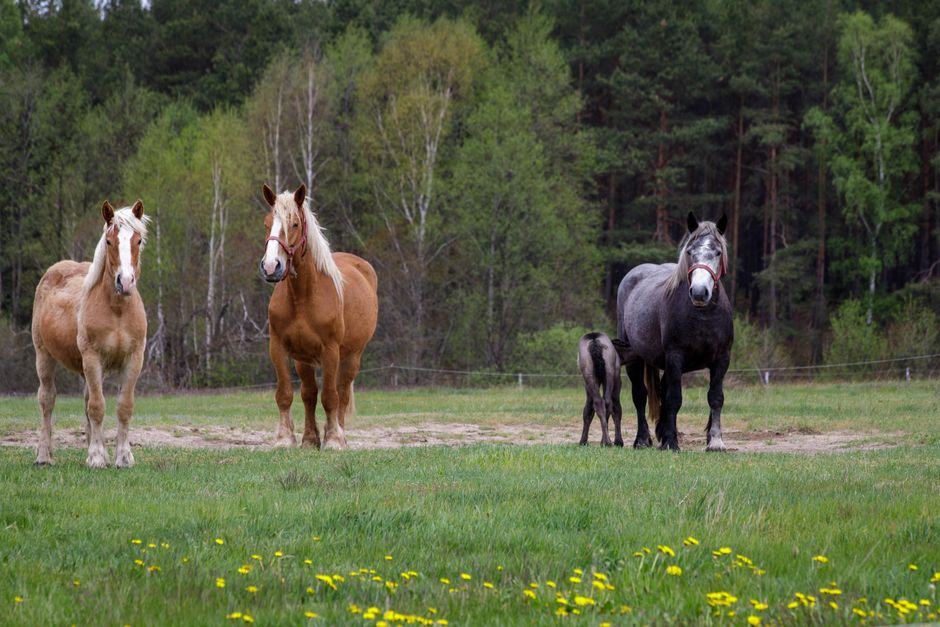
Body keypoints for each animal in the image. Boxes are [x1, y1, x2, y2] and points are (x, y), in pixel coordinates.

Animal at [31, 200, 149, 468]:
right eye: (109, 241)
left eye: (138, 240)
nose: (125, 282)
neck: (117, 310)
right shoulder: (93, 357)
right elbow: (97, 406)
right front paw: (96, 458)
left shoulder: (134, 359)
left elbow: (123, 407)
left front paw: (122, 457)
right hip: (44, 356)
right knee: (47, 399)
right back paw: (44, 455)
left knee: (86, 401)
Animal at [259, 183, 378, 450]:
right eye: (267, 223)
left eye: (294, 224)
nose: (271, 267)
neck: (303, 297)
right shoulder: (279, 348)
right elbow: (286, 394)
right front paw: (287, 439)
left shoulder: (330, 351)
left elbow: (331, 397)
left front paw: (333, 439)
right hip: (303, 359)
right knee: (309, 394)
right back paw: (311, 438)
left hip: (351, 356)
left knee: (341, 393)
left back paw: (339, 434)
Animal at [614, 212, 733, 451]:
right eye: (690, 251)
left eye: (717, 252)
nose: (699, 292)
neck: (702, 315)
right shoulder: (675, 356)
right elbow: (674, 399)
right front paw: (671, 442)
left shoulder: (722, 359)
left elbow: (715, 397)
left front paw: (715, 441)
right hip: (634, 357)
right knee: (640, 395)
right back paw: (643, 439)